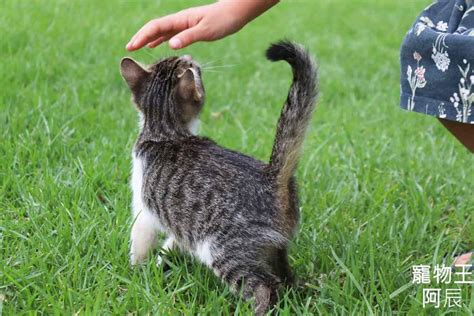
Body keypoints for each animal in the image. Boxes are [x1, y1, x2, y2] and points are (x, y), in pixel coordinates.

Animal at [120, 42, 316, 316]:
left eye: (194, 67)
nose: (190, 55)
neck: (165, 131)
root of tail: (271, 177)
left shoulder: (143, 208)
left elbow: (139, 240)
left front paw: (137, 272)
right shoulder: (186, 225)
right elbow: (173, 242)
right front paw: (161, 262)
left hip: (224, 250)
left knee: (265, 287)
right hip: (274, 248)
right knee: (285, 279)